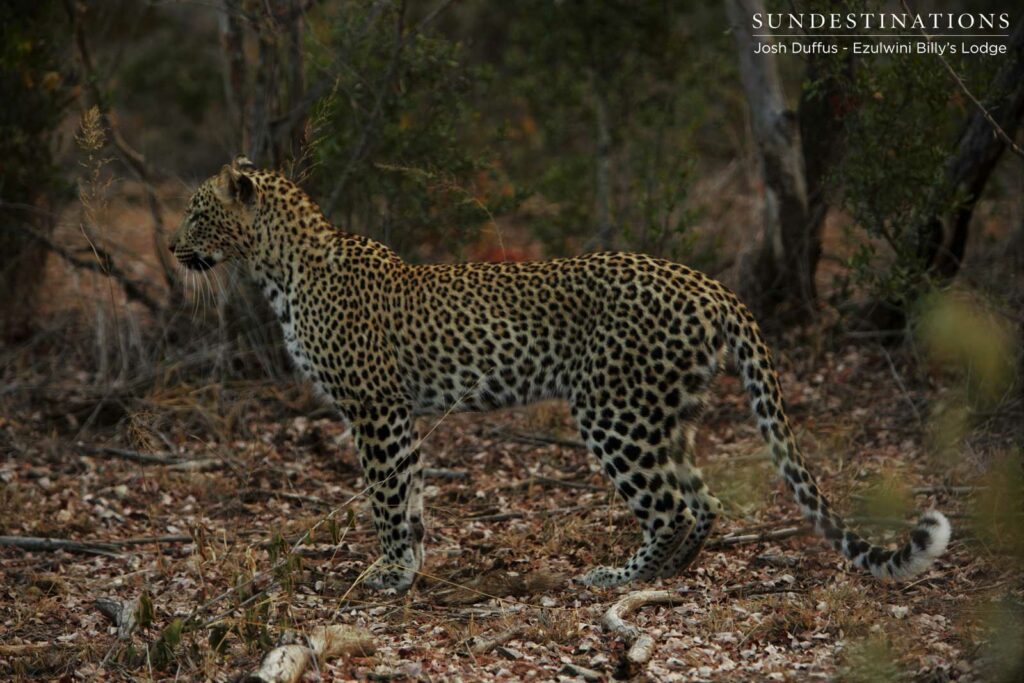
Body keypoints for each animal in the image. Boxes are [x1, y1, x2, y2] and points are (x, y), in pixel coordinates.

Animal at [169, 156, 951, 592]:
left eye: (196, 213)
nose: (173, 249)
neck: (278, 270)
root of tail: (709, 283)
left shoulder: (375, 409)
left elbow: (388, 497)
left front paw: (390, 572)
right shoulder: (401, 415)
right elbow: (412, 496)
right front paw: (411, 567)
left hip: (613, 410)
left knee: (671, 503)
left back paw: (617, 577)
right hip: (667, 411)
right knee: (702, 500)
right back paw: (667, 574)